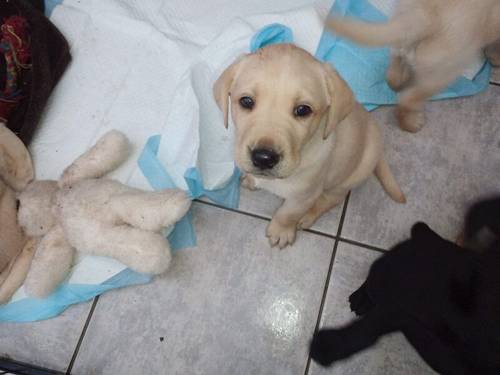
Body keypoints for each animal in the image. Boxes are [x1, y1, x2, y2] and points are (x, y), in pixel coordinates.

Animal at [213, 44, 404, 248]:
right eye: (246, 101)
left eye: (303, 110)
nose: (263, 158)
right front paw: (250, 179)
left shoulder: (303, 196)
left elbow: (287, 214)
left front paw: (281, 231)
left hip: (352, 175)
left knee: (332, 198)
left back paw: (308, 216)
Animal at [326, 0, 500, 134]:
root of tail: (422, 15)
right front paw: (495, 56)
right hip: (444, 71)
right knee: (408, 98)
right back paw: (411, 123)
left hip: (401, 46)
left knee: (393, 76)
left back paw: (400, 80)